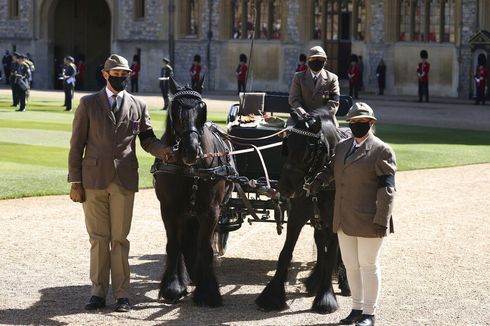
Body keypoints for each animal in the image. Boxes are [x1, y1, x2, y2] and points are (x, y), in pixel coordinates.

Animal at [154, 78, 236, 306]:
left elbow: (205, 248)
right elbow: (174, 245)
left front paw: (208, 291)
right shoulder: (169, 209)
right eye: (174, 109)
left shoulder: (211, 211)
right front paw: (173, 287)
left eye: (202, 109)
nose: (190, 150)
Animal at [255, 109, 346, 314]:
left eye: (307, 151)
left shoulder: (333, 222)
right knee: (320, 244)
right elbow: (285, 253)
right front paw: (272, 296)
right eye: (286, 146)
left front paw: (326, 297)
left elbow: (332, 255)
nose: (284, 188)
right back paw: (315, 280)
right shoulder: (297, 217)